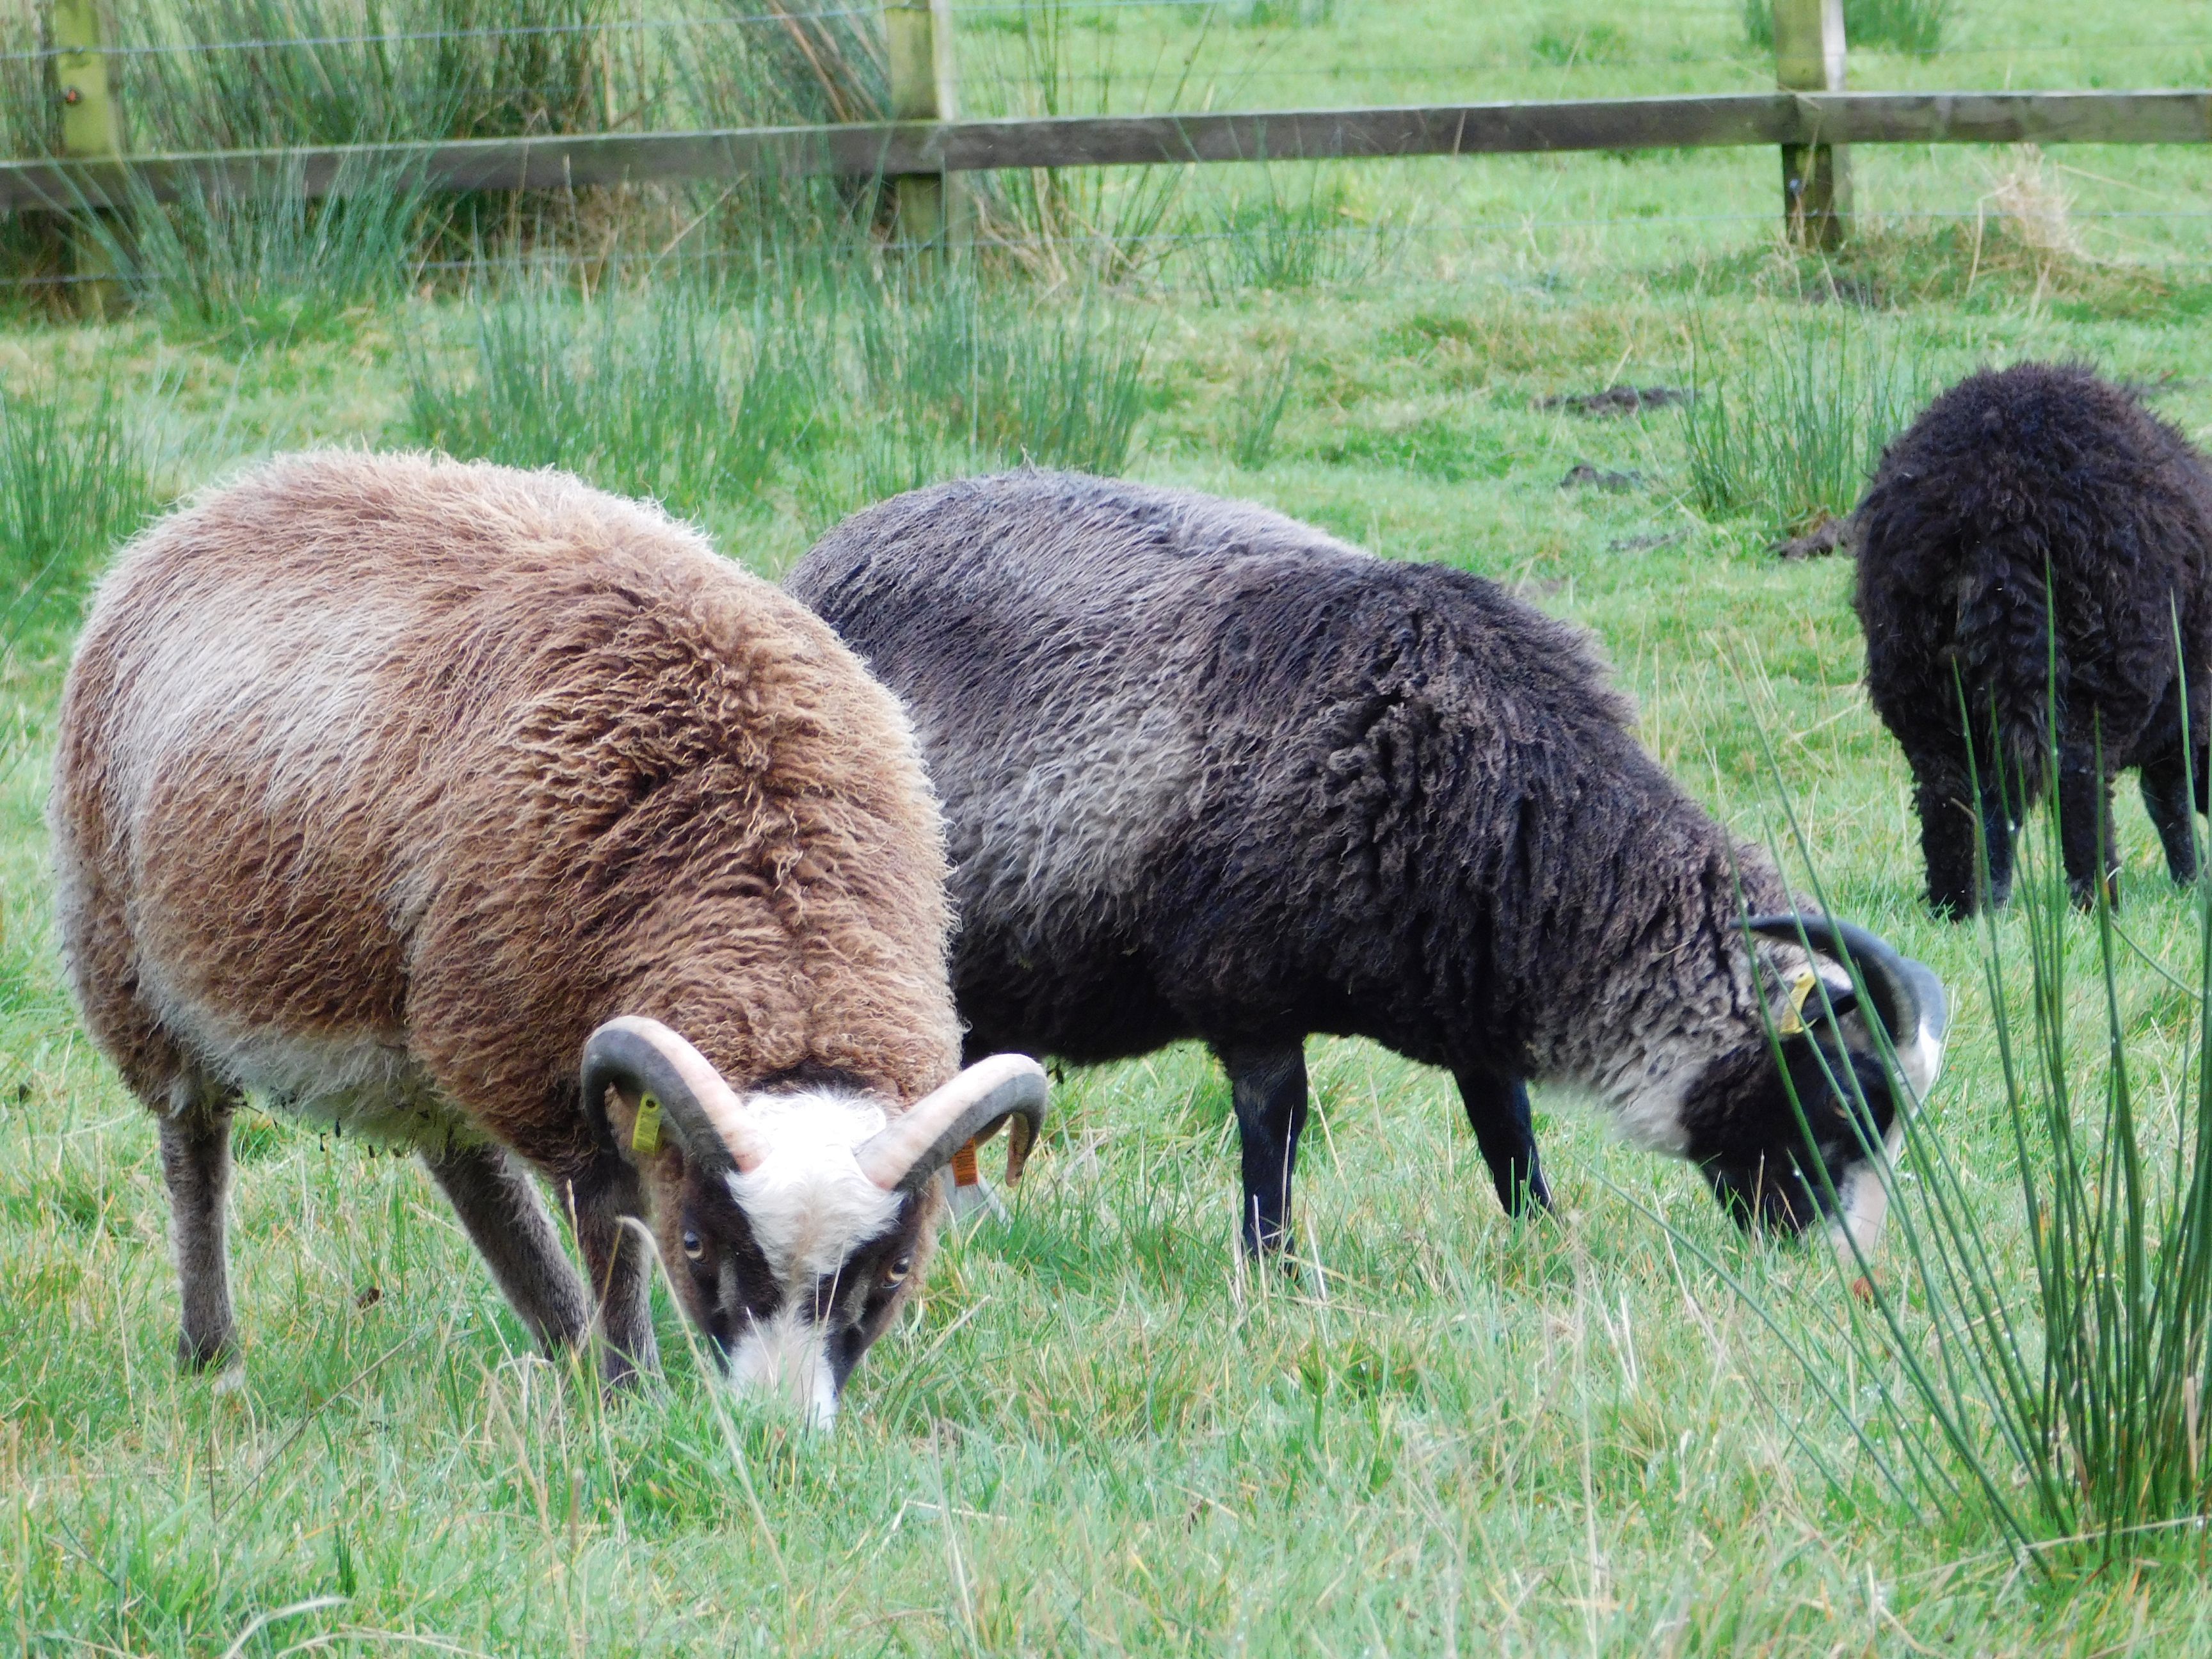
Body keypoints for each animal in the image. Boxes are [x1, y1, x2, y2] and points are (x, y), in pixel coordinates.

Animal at [52, 455, 1048, 1433]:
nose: (776, 1435)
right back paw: (210, 1351)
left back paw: (559, 1336)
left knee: (469, 1170)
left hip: (428, 1031)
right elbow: (611, 1223)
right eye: (695, 1241)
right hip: (135, 976)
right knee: (195, 1149)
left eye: (896, 1268)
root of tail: (224, 497)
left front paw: (609, 1374)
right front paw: (628, 1392)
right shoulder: (537, 1061)